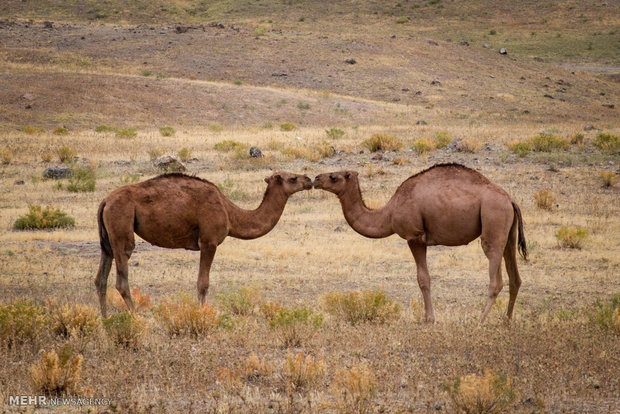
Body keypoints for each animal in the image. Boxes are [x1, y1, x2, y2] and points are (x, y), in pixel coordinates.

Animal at [95, 171, 312, 316]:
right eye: (293, 178)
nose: (309, 180)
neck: (229, 212)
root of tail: (105, 200)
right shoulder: (209, 241)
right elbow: (203, 284)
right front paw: (201, 314)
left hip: (107, 239)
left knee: (101, 278)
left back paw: (105, 319)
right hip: (122, 225)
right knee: (122, 277)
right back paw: (136, 316)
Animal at [314, 163, 528, 324]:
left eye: (333, 177)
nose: (315, 179)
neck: (389, 212)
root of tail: (510, 200)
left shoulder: (414, 237)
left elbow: (423, 279)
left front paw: (429, 319)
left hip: (493, 222)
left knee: (496, 277)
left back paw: (480, 320)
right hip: (508, 234)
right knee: (515, 277)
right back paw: (506, 320)